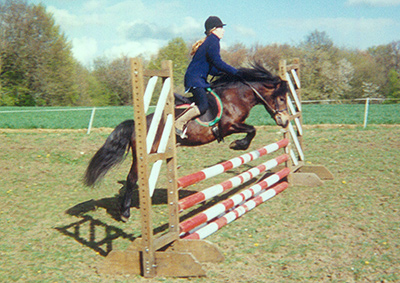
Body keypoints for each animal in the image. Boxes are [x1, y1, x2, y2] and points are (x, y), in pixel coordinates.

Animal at [83, 63, 288, 223]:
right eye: (281, 98)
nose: (285, 121)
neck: (236, 96)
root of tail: (136, 125)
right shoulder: (228, 126)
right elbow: (252, 130)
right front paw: (238, 144)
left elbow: (252, 129)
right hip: (146, 153)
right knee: (132, 178)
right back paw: (125, 213)